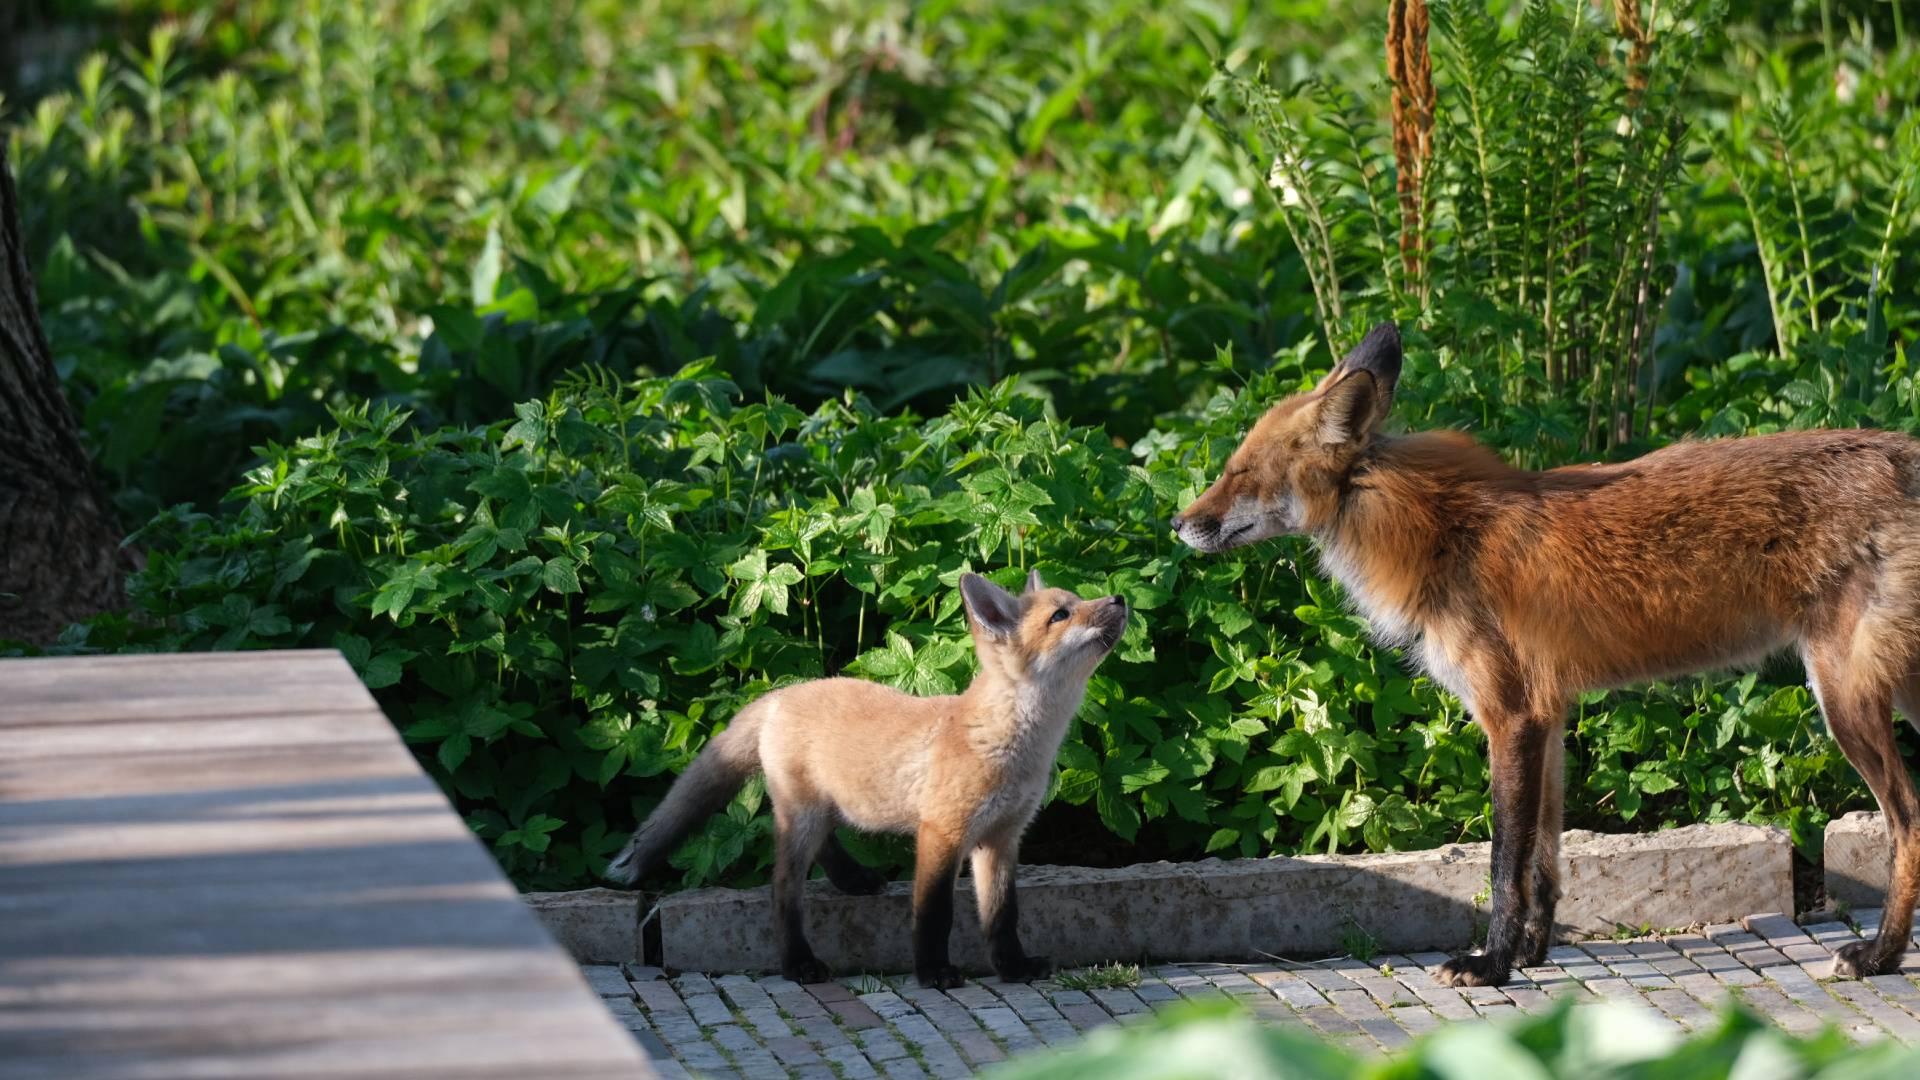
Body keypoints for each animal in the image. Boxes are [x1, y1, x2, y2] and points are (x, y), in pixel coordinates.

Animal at [1167, 319, 1920, 983]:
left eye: (1241, 474)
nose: (1177, 524)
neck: (1443, 534)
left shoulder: (1511, 715)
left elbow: (1505, 860)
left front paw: (1491, 964)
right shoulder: (1548, 717)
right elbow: (1545, 862)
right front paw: (1530, 954)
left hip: (1844, 699)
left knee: (1908, 820)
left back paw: (1879, 956)